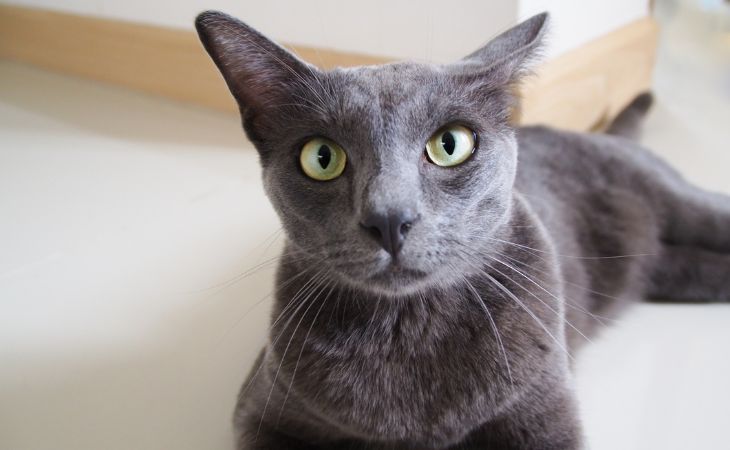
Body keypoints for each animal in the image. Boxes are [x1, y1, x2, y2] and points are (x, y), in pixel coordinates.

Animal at [193, 10, 728, 450]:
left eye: (450, 144)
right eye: (321, 157)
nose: (390, 218)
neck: (406, 329)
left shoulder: (544, 411)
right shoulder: (262, 410)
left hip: (675, 197)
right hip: (664, 267)